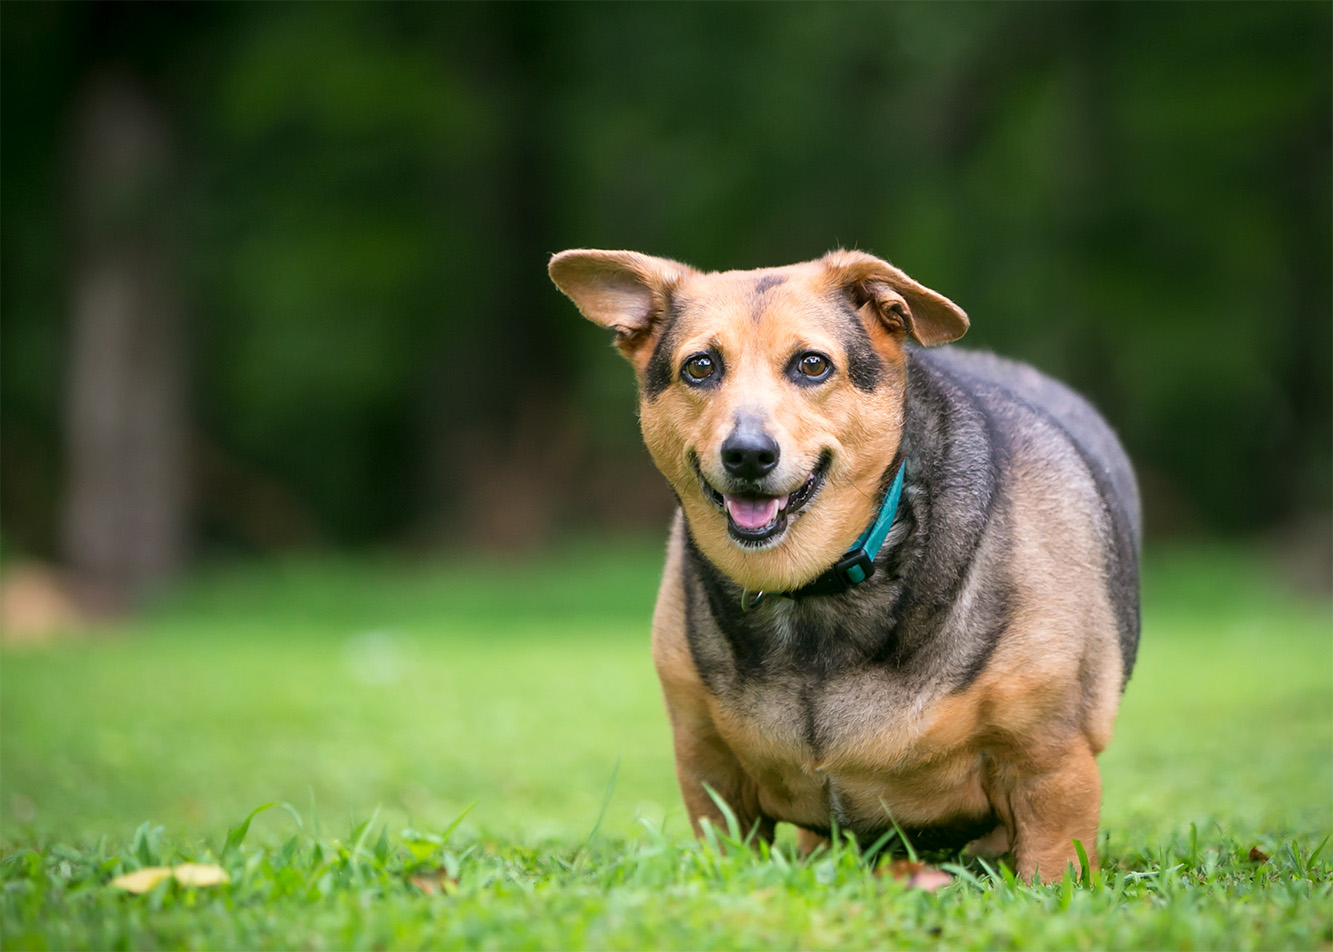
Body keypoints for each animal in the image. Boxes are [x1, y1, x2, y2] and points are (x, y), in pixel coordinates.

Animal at [546, 248, 1141, 880]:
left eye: (812, 365)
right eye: (700, 367)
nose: (748, 454)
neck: (811, 589)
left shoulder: (1050, 770)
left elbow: (1049, 873)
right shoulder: (710, 770)